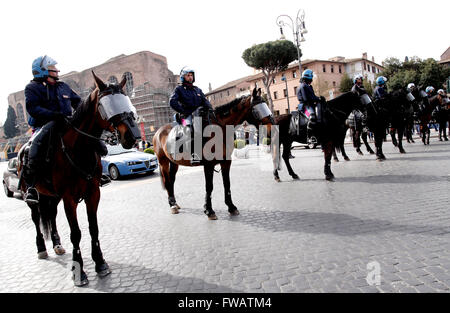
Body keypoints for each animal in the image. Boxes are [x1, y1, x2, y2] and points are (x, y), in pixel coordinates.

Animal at [17, 71, 140, 286]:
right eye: (106, 105)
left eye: (125, 100)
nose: (132, 136)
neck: (78, 149)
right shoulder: (69, 198)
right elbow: (76, 233)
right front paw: (79, 271)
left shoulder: (93, 193)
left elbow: (93, 228)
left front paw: (100, 263)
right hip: (32, 195)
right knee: (35, 218)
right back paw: (41, 248)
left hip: (52, 197)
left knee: (51, 216)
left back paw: (56, 244)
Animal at [153, 87, 272, 219]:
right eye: (257, 109)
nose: (271, 128)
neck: (219, 129)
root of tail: (159, 132)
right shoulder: (208, 165)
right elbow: (209, 186)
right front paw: (209, 210)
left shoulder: (226, 162)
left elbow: (227, 183)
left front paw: (231, 207)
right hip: (163, 162)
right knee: (168, 181)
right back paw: (172, 205)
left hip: (174, 162)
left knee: (172, 180)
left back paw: (174, 203)